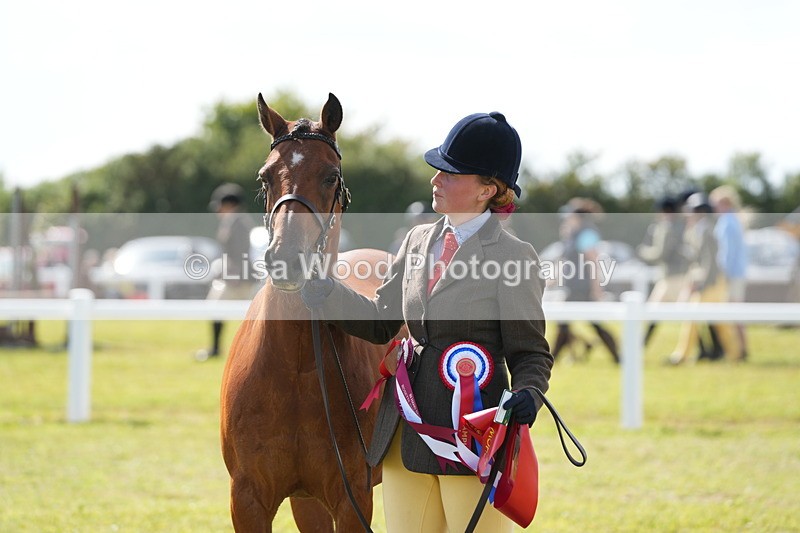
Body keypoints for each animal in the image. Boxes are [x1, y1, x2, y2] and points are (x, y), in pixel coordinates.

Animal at [220, 93, 393, 532]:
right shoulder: (248, 499)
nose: (286, 260)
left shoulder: (352, 499)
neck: (295, 361)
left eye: (331, 176)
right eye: (265, 177)